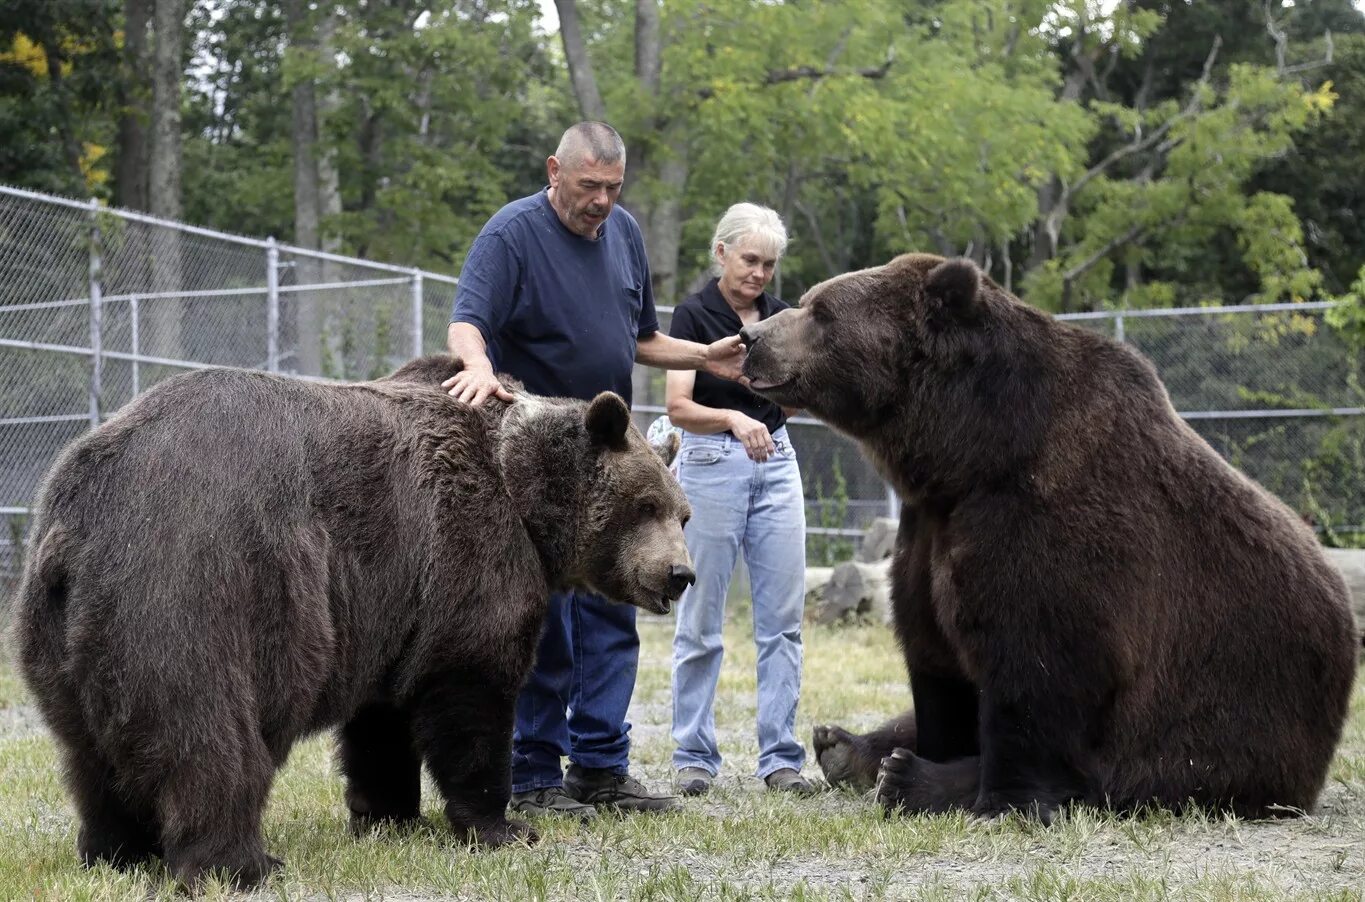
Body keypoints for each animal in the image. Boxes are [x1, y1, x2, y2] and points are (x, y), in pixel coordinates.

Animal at [9, 354, 694, 888]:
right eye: (645, 505)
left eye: (681, 513)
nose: (679, 574)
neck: (523, 492)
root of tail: (83, 513)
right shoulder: (469, 550)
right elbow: (471, 690)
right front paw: (503, 826)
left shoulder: (396, 600)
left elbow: (382, 716)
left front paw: (386, 812)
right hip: (199, 581)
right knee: (208, 736)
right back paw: (241, 863)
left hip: (62, 628)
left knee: (89, 750)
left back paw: (115, 852)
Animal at [739, 253, 1358, 822]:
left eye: (821, 312)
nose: (751, 337)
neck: (968, 454)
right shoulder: (930, 527)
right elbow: (934, 657)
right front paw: (916, 753)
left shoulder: (1048, 523)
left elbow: (1037, 670)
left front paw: (987, 794)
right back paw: (845, 746)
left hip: (1230, 719)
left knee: (1134, 770)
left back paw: (905, 775)